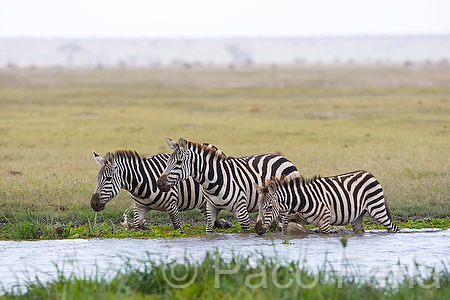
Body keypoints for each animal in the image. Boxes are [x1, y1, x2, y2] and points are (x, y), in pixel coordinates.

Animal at [156, 137, 300, 233]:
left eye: (179, 162)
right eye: (168, 162)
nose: (159, 183)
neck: (213, 182)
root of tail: (283, 158)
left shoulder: (242, 212)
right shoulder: (211, 208)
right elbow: (209, 230)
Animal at [255, 170, 400, 236]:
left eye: (269, 207)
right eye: (259, 207)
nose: (257, 229)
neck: (302, 200)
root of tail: (369, 173)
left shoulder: (325, 220)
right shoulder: (302, 218)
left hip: (377, 209)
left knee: (393, 228)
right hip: (358, 217)